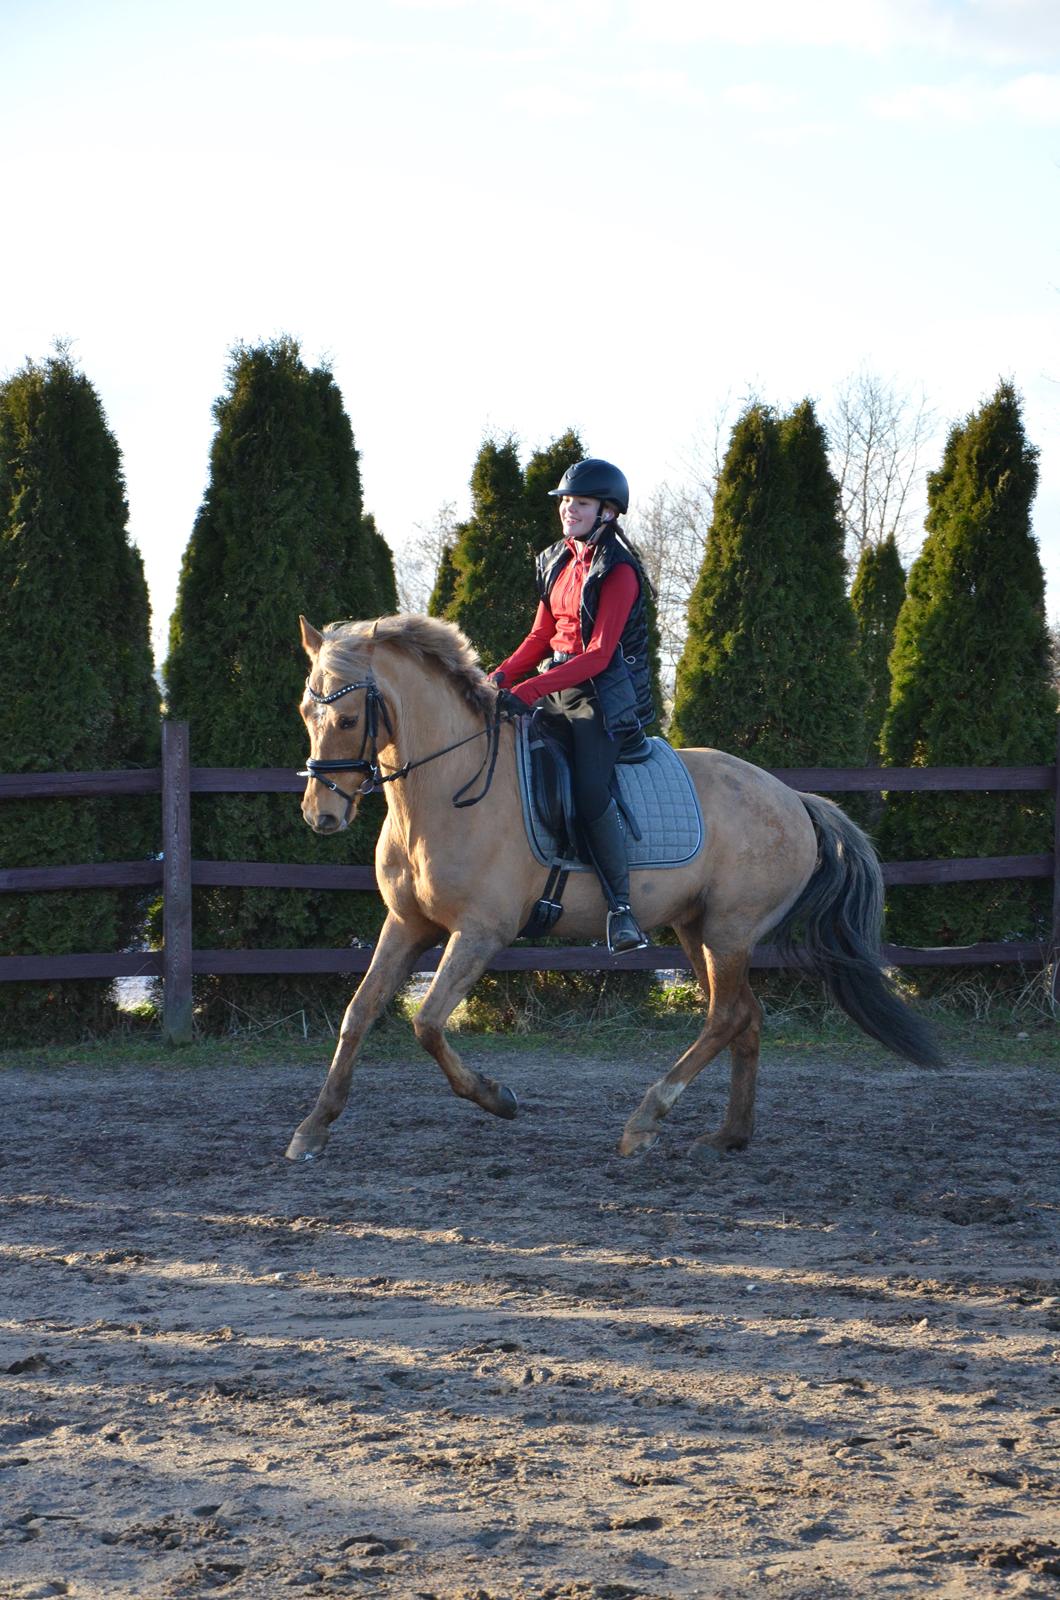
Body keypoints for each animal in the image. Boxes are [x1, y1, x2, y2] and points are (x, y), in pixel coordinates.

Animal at [286, 611, 941, 1164]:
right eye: (304, 714)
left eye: (348, 719)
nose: (321, 816)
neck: (449, 789)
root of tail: (794, 798)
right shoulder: (407, 925)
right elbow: (359, 1013)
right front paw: (313, 1129)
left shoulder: (479, 933)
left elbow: (426, 1023)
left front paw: (499, 1099)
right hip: (697, 929)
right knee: (745, 1017)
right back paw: (729, 1136)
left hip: (729, 930)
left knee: (727, 1016)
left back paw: (644, 1122)